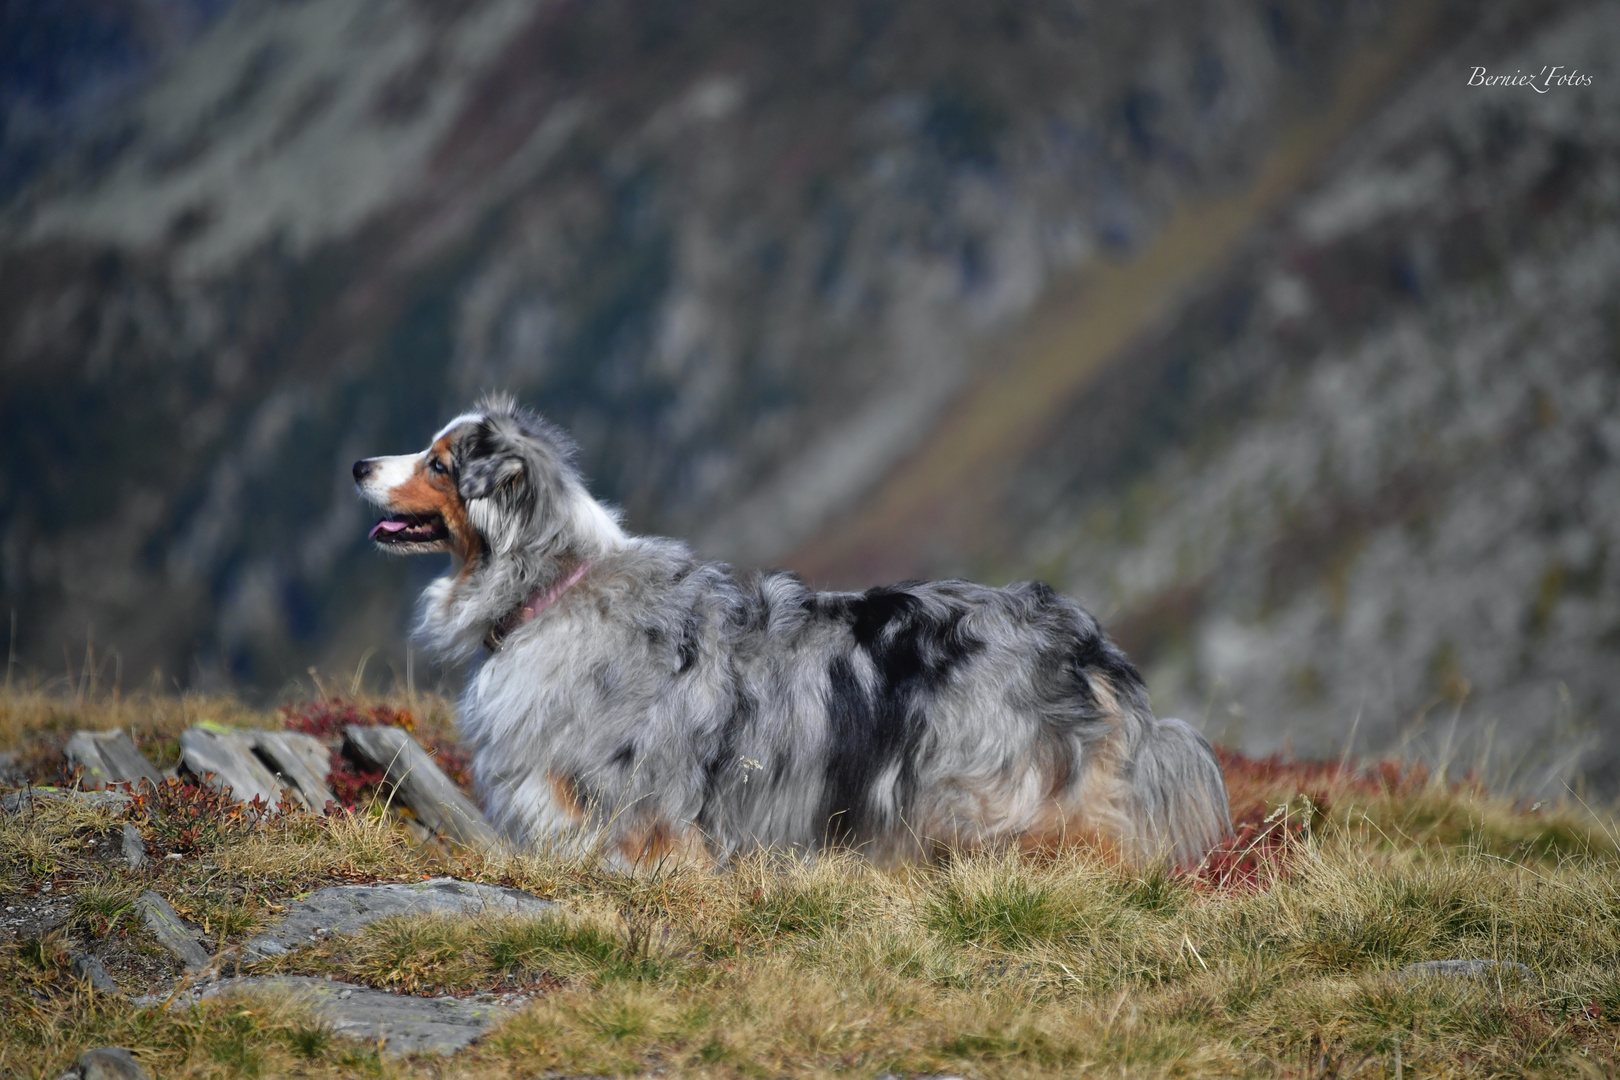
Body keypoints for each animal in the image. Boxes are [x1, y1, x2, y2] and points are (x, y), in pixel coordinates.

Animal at [358, 396, 1224, 867]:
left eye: (440, 463)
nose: (360, 463)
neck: (551, 585)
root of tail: (1087, 641)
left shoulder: (631, 808)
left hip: (992, 794)